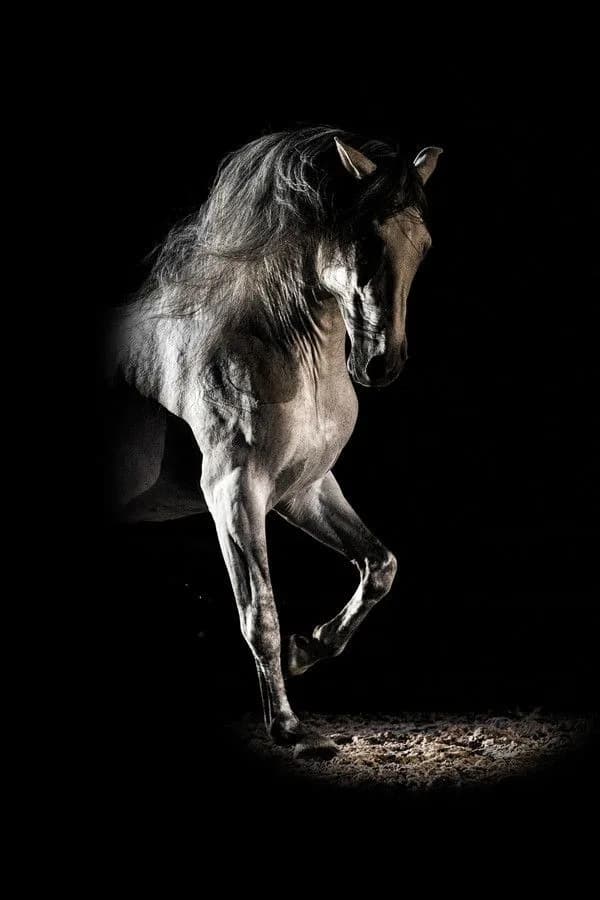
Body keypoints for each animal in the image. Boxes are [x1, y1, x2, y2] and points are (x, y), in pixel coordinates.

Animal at [104, 127, 442, 758]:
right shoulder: (234, 494)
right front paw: (286, 725)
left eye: (424, 245)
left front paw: (309, 648)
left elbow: (379, 564)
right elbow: (259, 611)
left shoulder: (305, 490)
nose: (381, 365)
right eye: (364, 241)